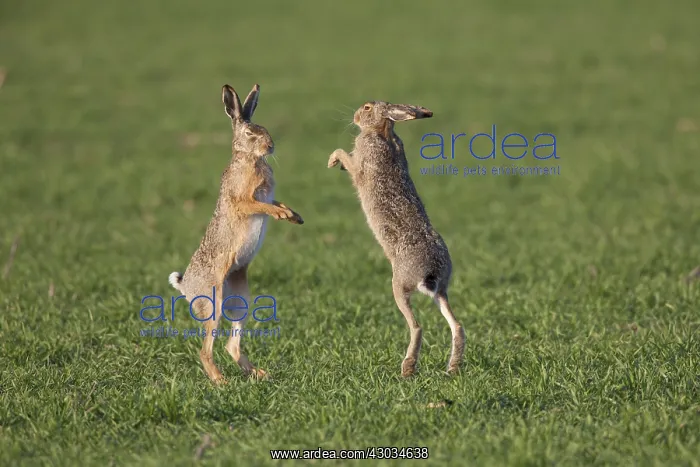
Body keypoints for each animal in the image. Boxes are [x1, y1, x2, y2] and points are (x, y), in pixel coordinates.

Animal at [169, 83, 303, 384]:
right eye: (250, 133)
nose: (270, 146)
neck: (249, 158)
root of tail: (185, 287)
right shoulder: (242, 200)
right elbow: (259, 205)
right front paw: (280, 215)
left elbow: (278, 202)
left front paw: (294, 216)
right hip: (214, 302)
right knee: (205, 349)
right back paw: (221, 381)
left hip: (241, 301)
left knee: (232, 344)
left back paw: (259, 373)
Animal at [327, 101, 465, 377]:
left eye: (367, 107)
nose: (356, 116)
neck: (383, 132)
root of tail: (432, 269)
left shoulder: (361, 166)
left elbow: (347, 158)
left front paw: (333, 160)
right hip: (441, 291)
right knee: (457, 326)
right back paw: (452, 368)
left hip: (399, 285)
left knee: (417, 327)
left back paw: (407, 369)